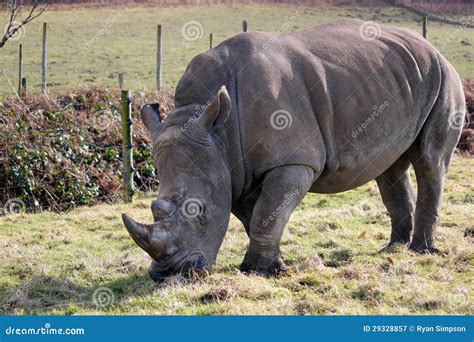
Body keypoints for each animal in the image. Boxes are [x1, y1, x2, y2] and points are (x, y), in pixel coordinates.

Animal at [121, 18, 462, 280]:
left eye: (199, 210)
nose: (166, 275)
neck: (216, 128)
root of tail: (433, 48)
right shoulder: (233, 169)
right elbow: (256, 217)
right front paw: (272, 265)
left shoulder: (292, 161)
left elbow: (266, 213)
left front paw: (256, 271)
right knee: (389, 167)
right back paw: (393, 249)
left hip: (443, 77)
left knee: (430, 161)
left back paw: (421, 251)